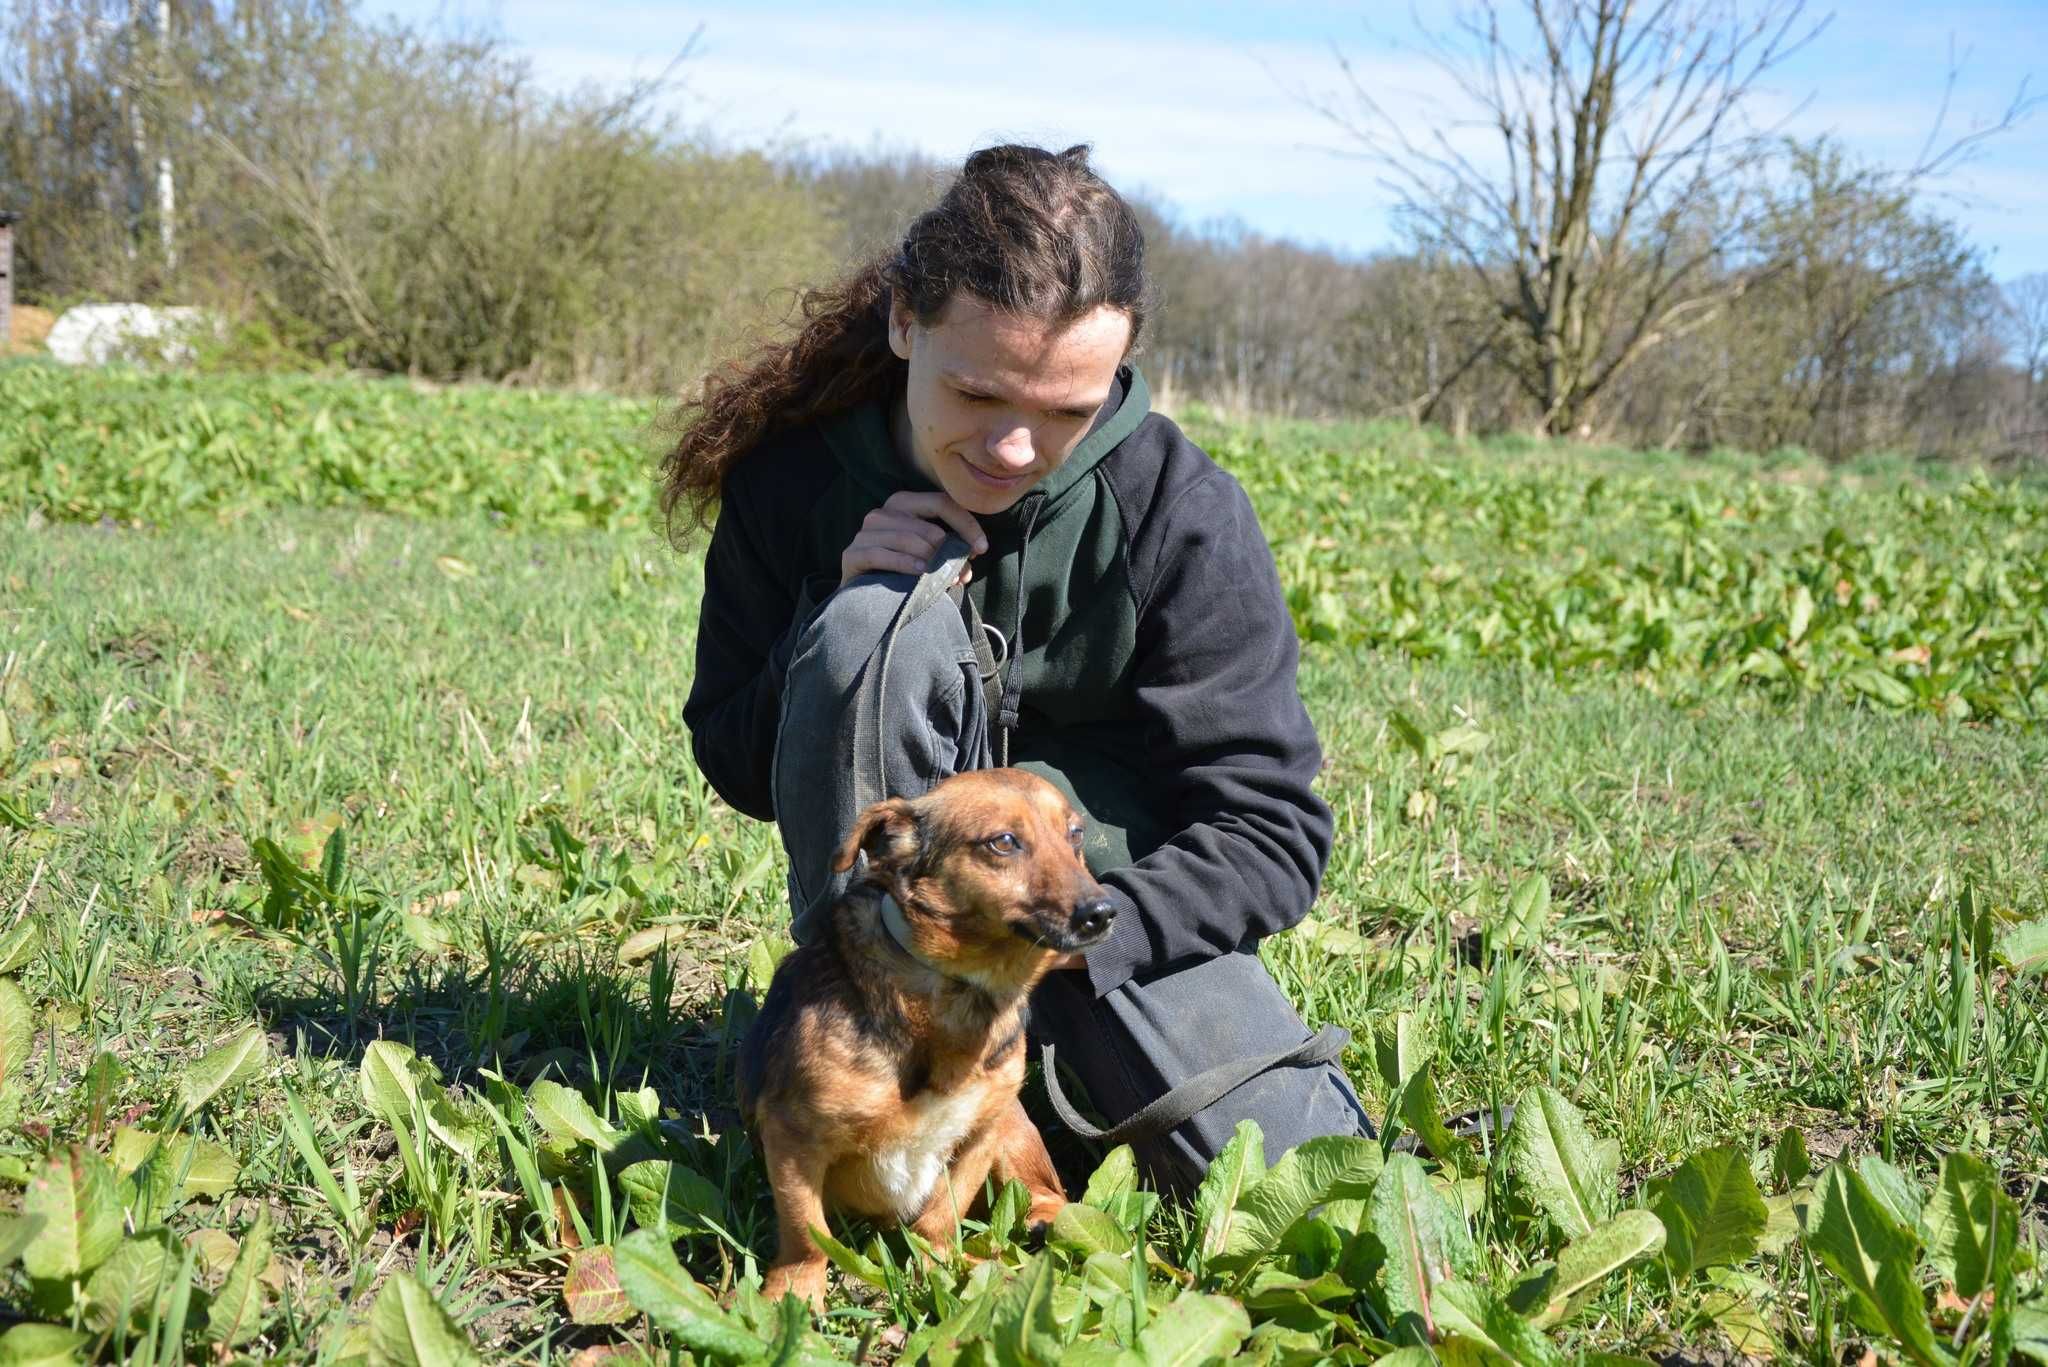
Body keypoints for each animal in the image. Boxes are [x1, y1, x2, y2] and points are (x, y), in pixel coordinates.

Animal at [741, 770, 1122, 1311]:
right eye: (1003, 842)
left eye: (1075, 836)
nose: (1104, 912)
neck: (962, 987)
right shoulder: (791, 1136)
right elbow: (805, 1231)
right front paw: (792, 1294)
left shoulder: (982, 1131)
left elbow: (940, 1217)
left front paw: (938, 1270)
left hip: (1014, 1128)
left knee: (1050, 1193)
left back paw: (1042, 1229)